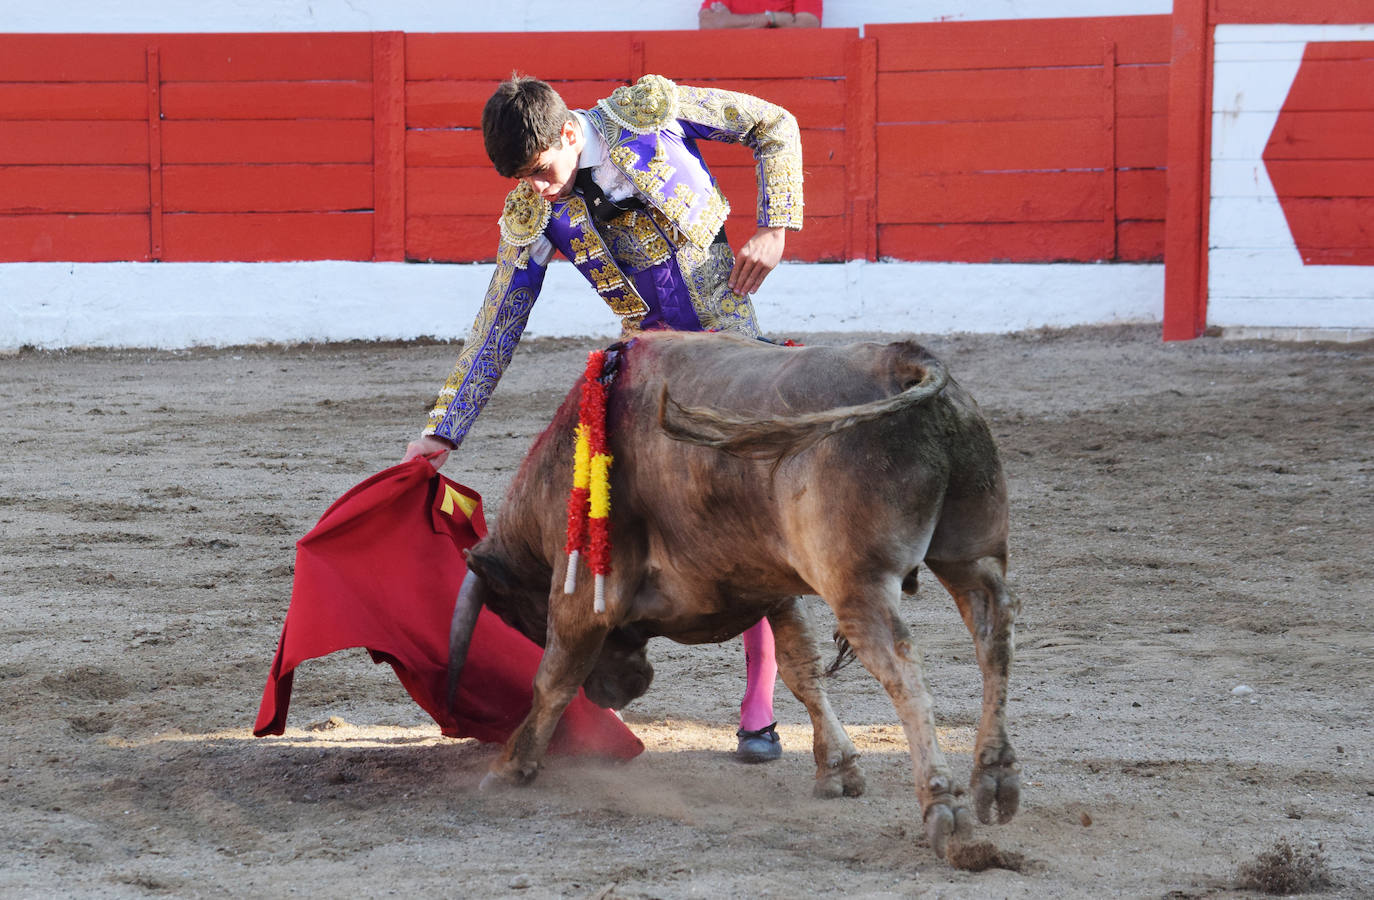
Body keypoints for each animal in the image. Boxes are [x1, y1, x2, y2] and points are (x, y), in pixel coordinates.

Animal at [445, 331, 1016, 857]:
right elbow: (801, 671)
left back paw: (945, 809)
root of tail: (906, 360)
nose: (615, 695)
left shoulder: (581, 595)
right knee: (995, 640)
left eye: (521, 617)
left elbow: (552, 681)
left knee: (904, 670)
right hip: (973, 556)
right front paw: (837, 769)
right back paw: (995, 778)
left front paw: (509, 769)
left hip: (861, 586)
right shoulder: (777, 591)